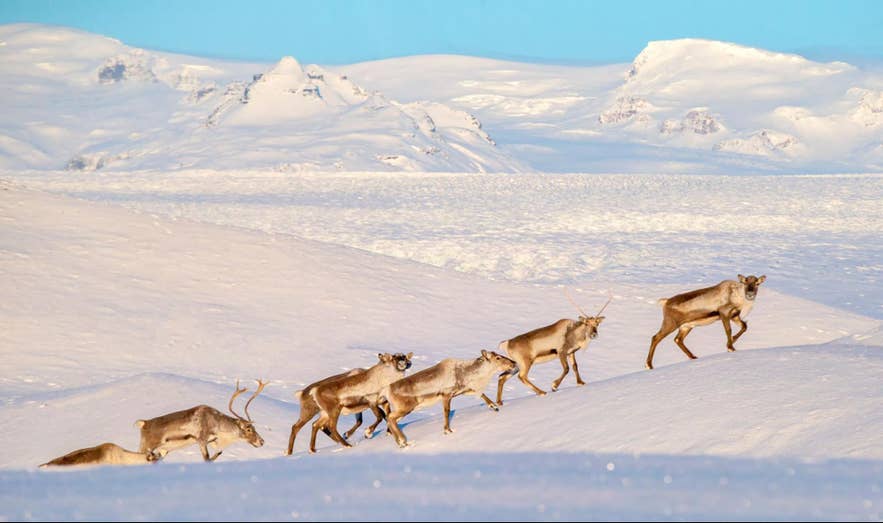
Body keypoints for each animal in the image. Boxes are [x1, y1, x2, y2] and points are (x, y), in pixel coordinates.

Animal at [136, 379, 266, 462]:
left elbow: (218, 453)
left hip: (162, 450)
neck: (217, 424)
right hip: (146, 446)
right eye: (249, 429)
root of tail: (143, 423)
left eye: (254, 428)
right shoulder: (201, 440)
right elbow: (207, 458)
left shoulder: (213, 441)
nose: (262, 441)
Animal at [383, 350, 516, 448]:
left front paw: (494, 406)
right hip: (406, 407)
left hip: (404, 410)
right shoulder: (446, 394)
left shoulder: (463, 390)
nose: (513, 362)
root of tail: (387, 391)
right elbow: (447, 412)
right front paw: (447, 430)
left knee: (390, 420)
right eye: (498, 357)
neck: (465, 373)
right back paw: (403, 441)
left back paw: (400, 442)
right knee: (390, 417)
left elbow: (481, 394)